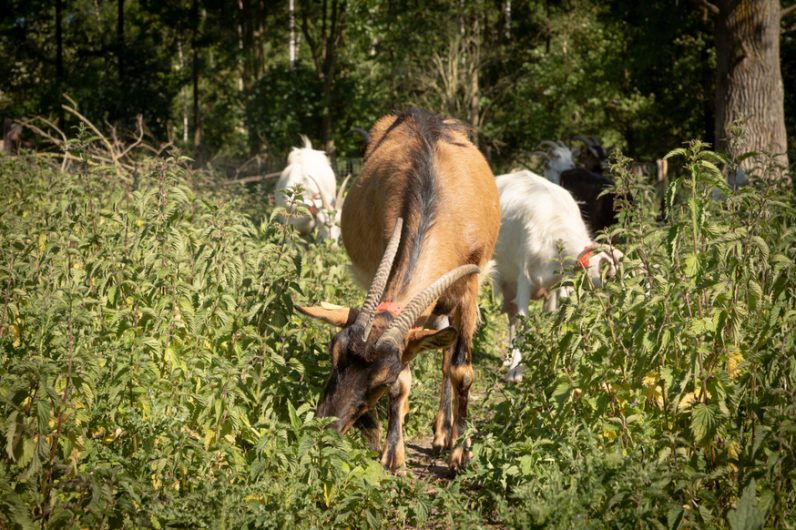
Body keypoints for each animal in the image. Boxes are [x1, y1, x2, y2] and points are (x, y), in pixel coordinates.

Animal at [296, 108, 498, 470]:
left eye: (381, 379)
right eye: (334, 354)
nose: (325, 424)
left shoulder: (469, 284)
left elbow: (460, 370)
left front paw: (461, 453)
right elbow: (406, 382)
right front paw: (392, 452)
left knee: (447, 355)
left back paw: (444, 435)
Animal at [498, 171, 620, 382]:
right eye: (611, 277)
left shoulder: (562, 284)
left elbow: (559, 320)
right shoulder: (523, 277)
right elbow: (523, 321)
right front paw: (516, 370)